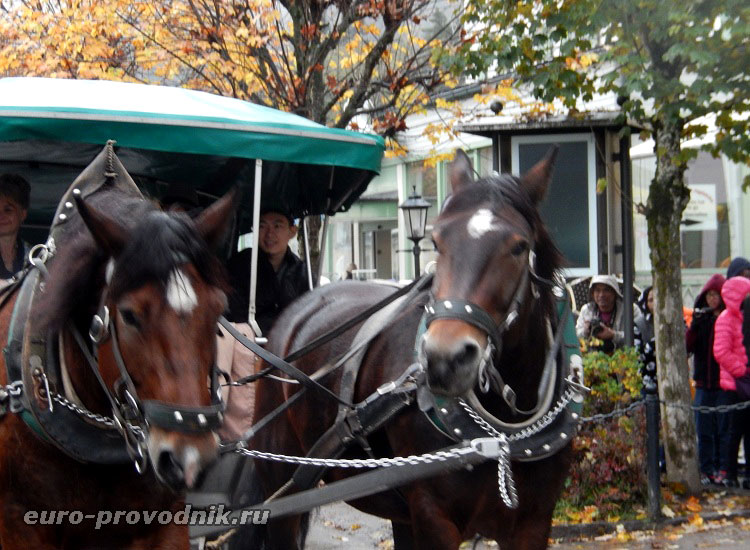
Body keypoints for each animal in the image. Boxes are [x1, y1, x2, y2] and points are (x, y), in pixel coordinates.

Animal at [250, 149, 572, 548]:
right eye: (436, 241)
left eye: (518, 247)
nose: (446, 358)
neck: (502, 434)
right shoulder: (434, 518)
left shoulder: (534, 522)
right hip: (281, 480)